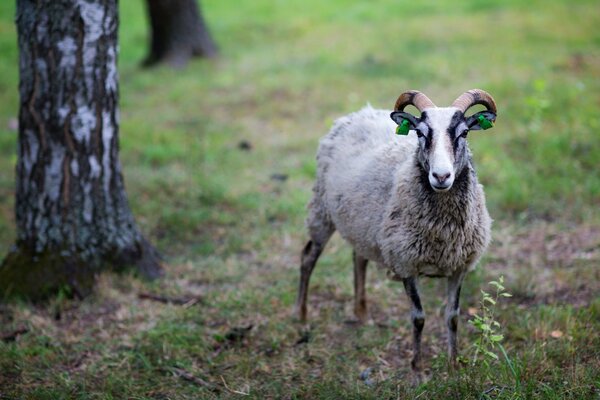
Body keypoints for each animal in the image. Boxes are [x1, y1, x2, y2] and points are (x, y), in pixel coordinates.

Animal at [296, 89, 496, 374]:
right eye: (421, 133)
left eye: (464, 133)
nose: (441, 176)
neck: (443, 233)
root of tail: (361, 112)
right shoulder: (406, 264)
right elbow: (418, 318)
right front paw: (417, 369)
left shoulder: (459, 267)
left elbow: (453, 317)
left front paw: (453, 365)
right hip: (321, 210)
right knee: (308, 258)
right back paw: (302, 317)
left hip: (363, 224)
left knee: (358, 258)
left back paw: (362, 314)